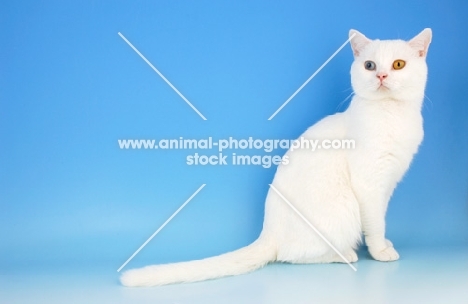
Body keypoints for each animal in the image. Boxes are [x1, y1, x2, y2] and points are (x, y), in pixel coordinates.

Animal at [119, 27, 432, 286]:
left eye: (398, 65)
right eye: (370, 65)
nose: (381, 76)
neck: (392, 115)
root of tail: (267, 233)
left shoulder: (388, 184)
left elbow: (380, 219)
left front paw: (385, 243)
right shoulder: (370, 186)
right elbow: (375, 223)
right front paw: (380, 251)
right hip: (343, 210)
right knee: (295, 255)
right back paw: (345, 254)